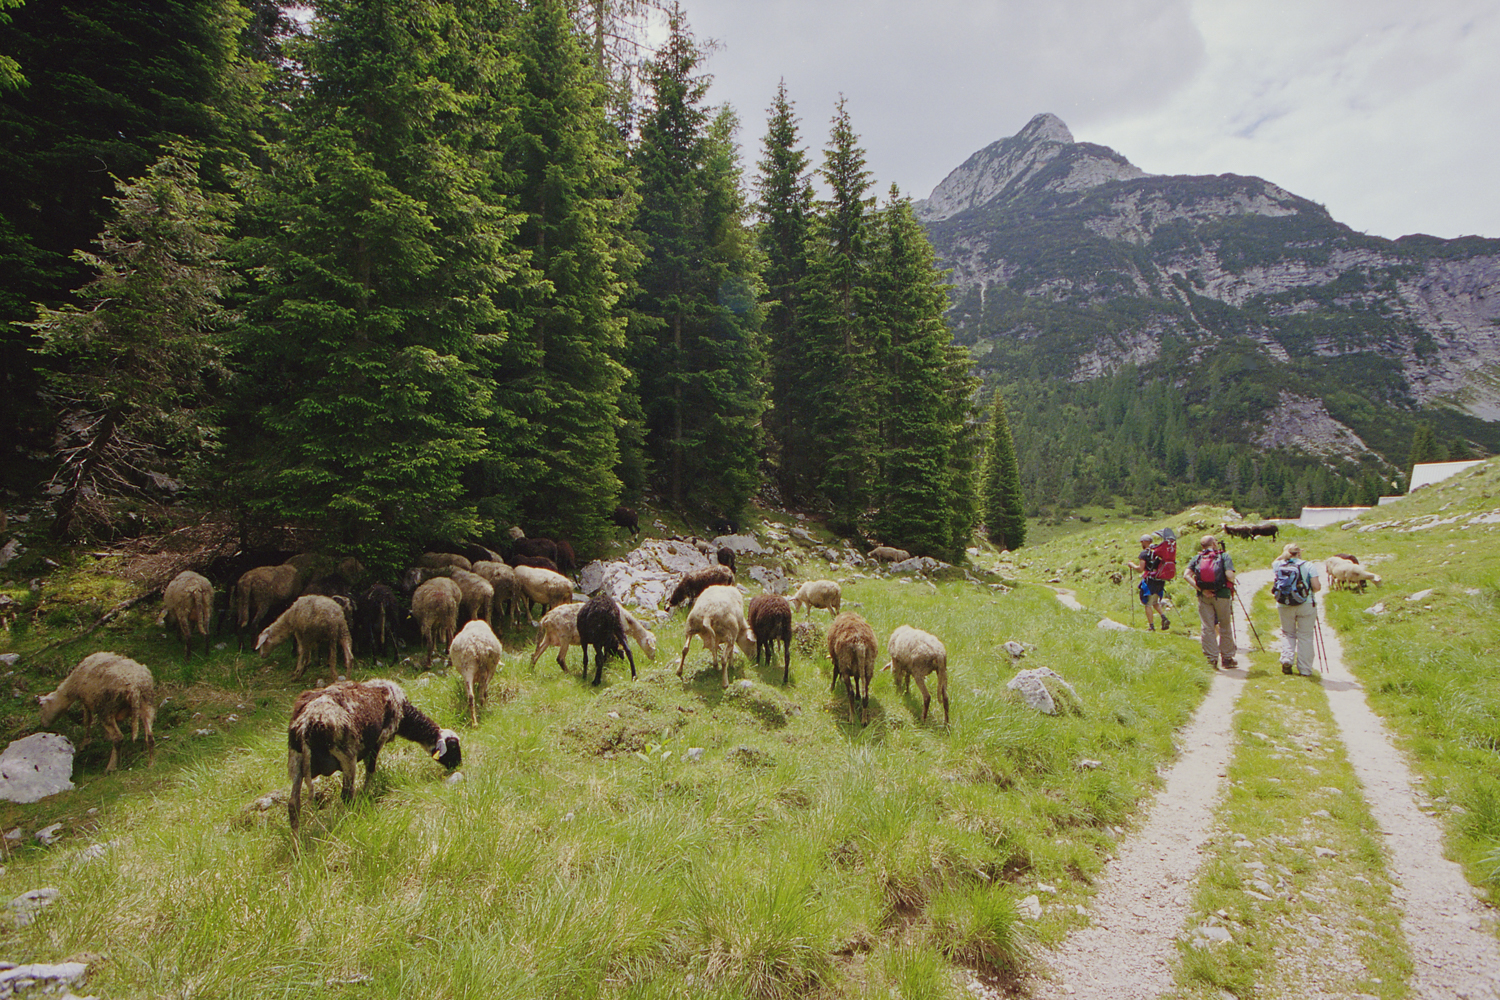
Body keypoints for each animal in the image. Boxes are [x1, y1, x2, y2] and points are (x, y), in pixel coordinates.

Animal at [285, 680, 459, 839]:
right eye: (453, 747)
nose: (458, 765)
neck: (404, 713)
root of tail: (307, 725)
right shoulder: (377, 742)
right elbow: (370, 770)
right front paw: (367, 793)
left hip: (295, 758)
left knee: (293, 805)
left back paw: (297, 845)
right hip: (346, 755)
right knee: (346, 795)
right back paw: (350, 822)